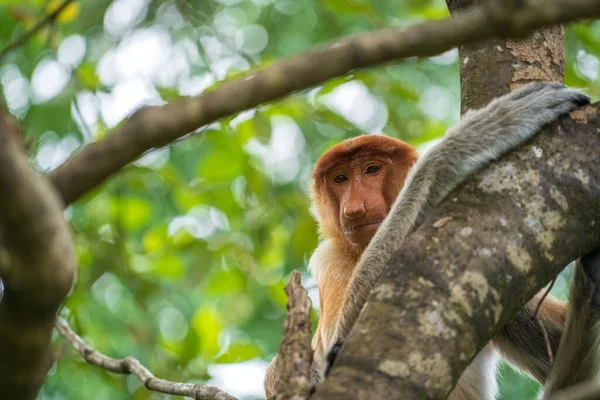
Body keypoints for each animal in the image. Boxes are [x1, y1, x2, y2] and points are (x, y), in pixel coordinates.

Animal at [268, 83, 600, 398]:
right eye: (340, 179)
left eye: (372, 169)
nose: (354, 209)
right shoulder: (329, 259)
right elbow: (333, 359)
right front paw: (470, 140)